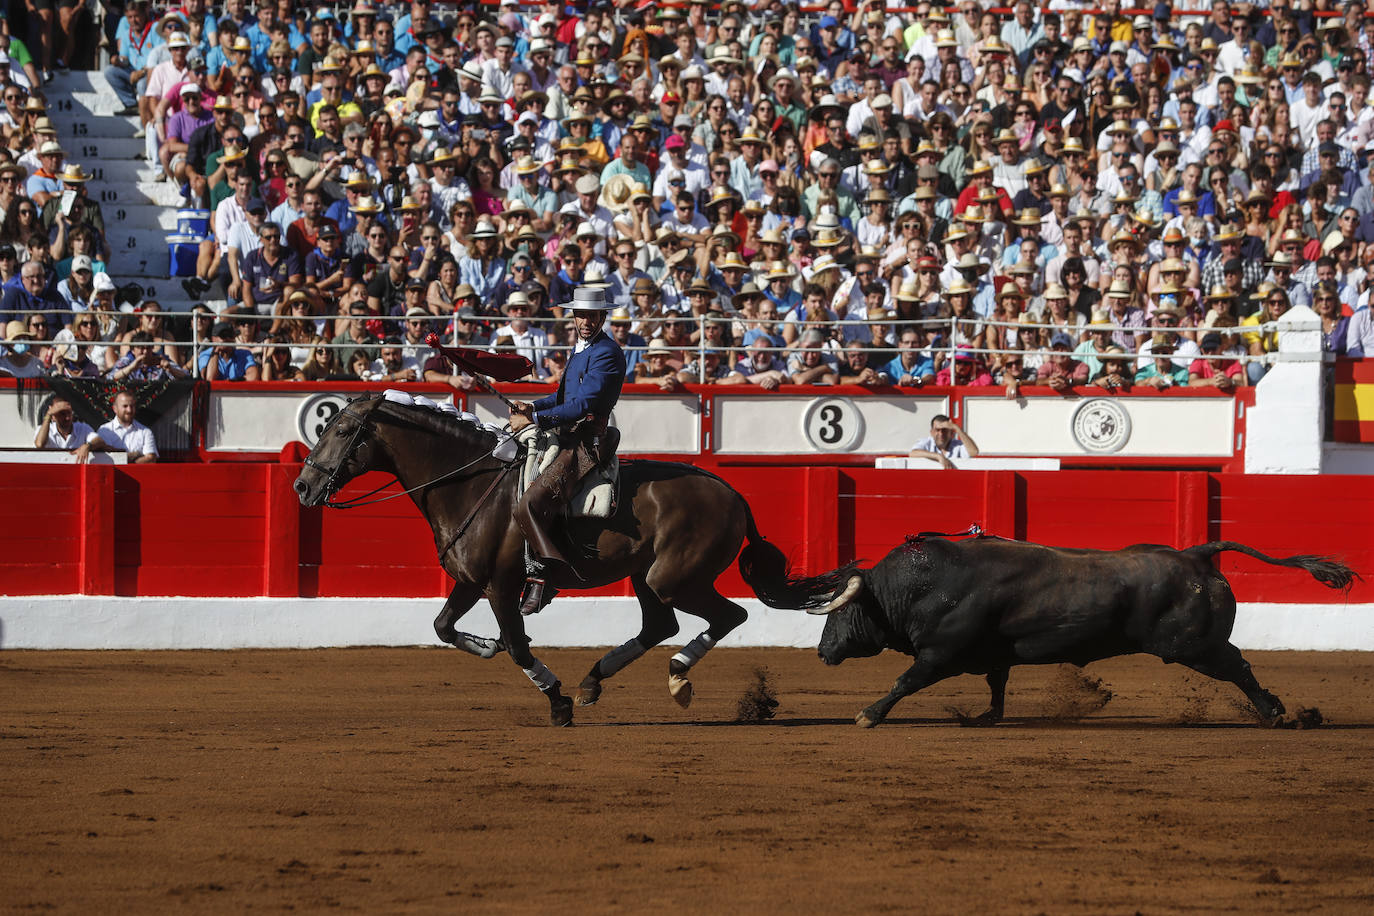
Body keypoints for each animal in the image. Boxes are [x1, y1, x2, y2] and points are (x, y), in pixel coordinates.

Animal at [295, 395, 840, 725]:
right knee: (660, 625)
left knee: (729, 615)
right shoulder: (471, 581)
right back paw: (593, 682)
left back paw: (677, 678)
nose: (302, 486)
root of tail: (732, 493)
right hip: (645, 577)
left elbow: (517, 646)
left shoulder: (500, 585)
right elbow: (443, 627)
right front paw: (486, 645)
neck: (468, 484)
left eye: (342, 429)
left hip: (674, 578)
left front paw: (555, 700)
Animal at [796, 538, 1352, 730]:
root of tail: (1195, 553)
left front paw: (868, 715)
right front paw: (985, 718)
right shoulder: (992, 656)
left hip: (1193, 647)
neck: (924, 584)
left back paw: (1274, 714)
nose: (821, 651)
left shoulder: (939, 654)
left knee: (1239, 666)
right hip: (1199, 645)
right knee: (1240, 662)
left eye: (840, 614)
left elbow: (904, 683)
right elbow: (997, 687)